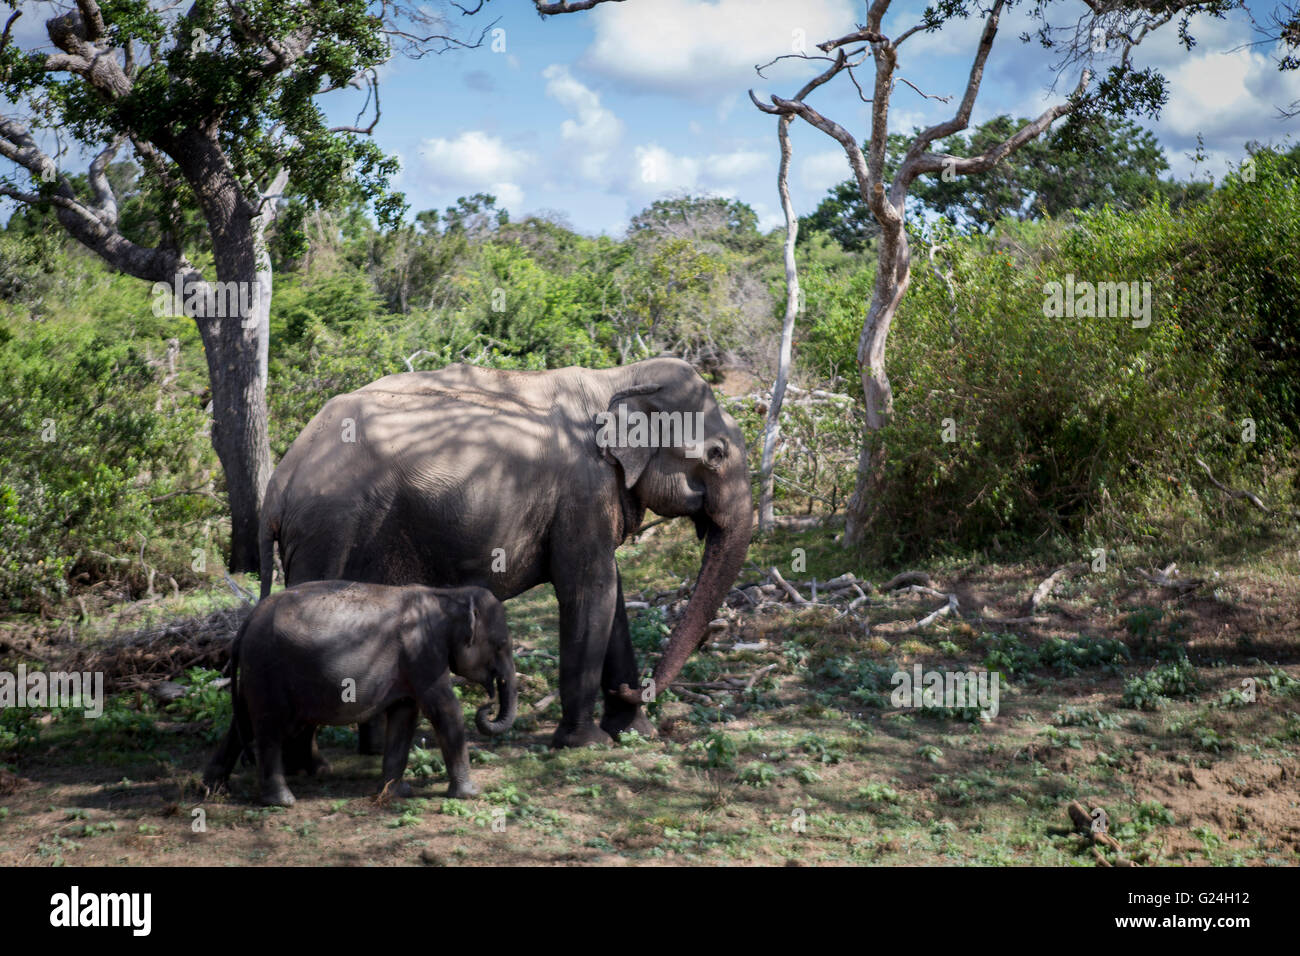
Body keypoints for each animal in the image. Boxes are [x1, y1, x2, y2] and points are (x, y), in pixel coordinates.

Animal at [200, 580, 514, 806]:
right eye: (500, 645)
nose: (488, 705)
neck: (448, 593)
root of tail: (247, 622)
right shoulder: (423, 653)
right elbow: (444, 708)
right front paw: (470, 794)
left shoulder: (412, 664)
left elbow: (405, 714)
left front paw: (396, 792)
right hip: (267, 669)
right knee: (268, 726)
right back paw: (282, 801)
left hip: (254, 672)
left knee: (243, 720)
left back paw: (213, 788)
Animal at [258, 356, 759, 749]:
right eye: (715, 455)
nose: (627, 691)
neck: (618, 378)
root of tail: (278, 485)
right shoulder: (583, 490)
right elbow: (589, 591)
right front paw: (585, 743)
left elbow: (612, 598)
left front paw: (635, 733)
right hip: (329, 532)